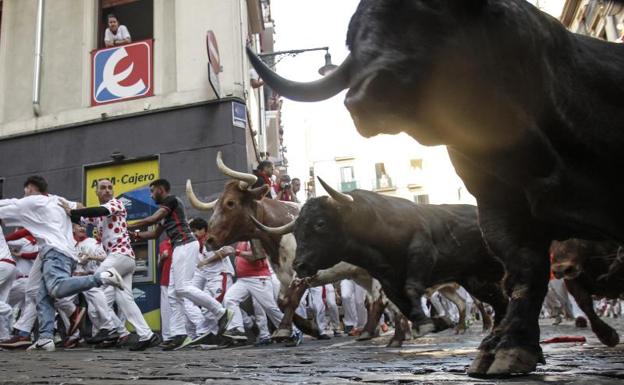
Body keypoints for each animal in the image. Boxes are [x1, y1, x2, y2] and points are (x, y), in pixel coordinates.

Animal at [245, 0, 624, 376]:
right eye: (299, 229)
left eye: (321, 224)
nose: (301, 265)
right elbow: (406, 297)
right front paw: (437, 325)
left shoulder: (422, 249)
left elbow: (413, 285)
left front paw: (437, 326)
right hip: (475, 278)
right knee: (498, 300)